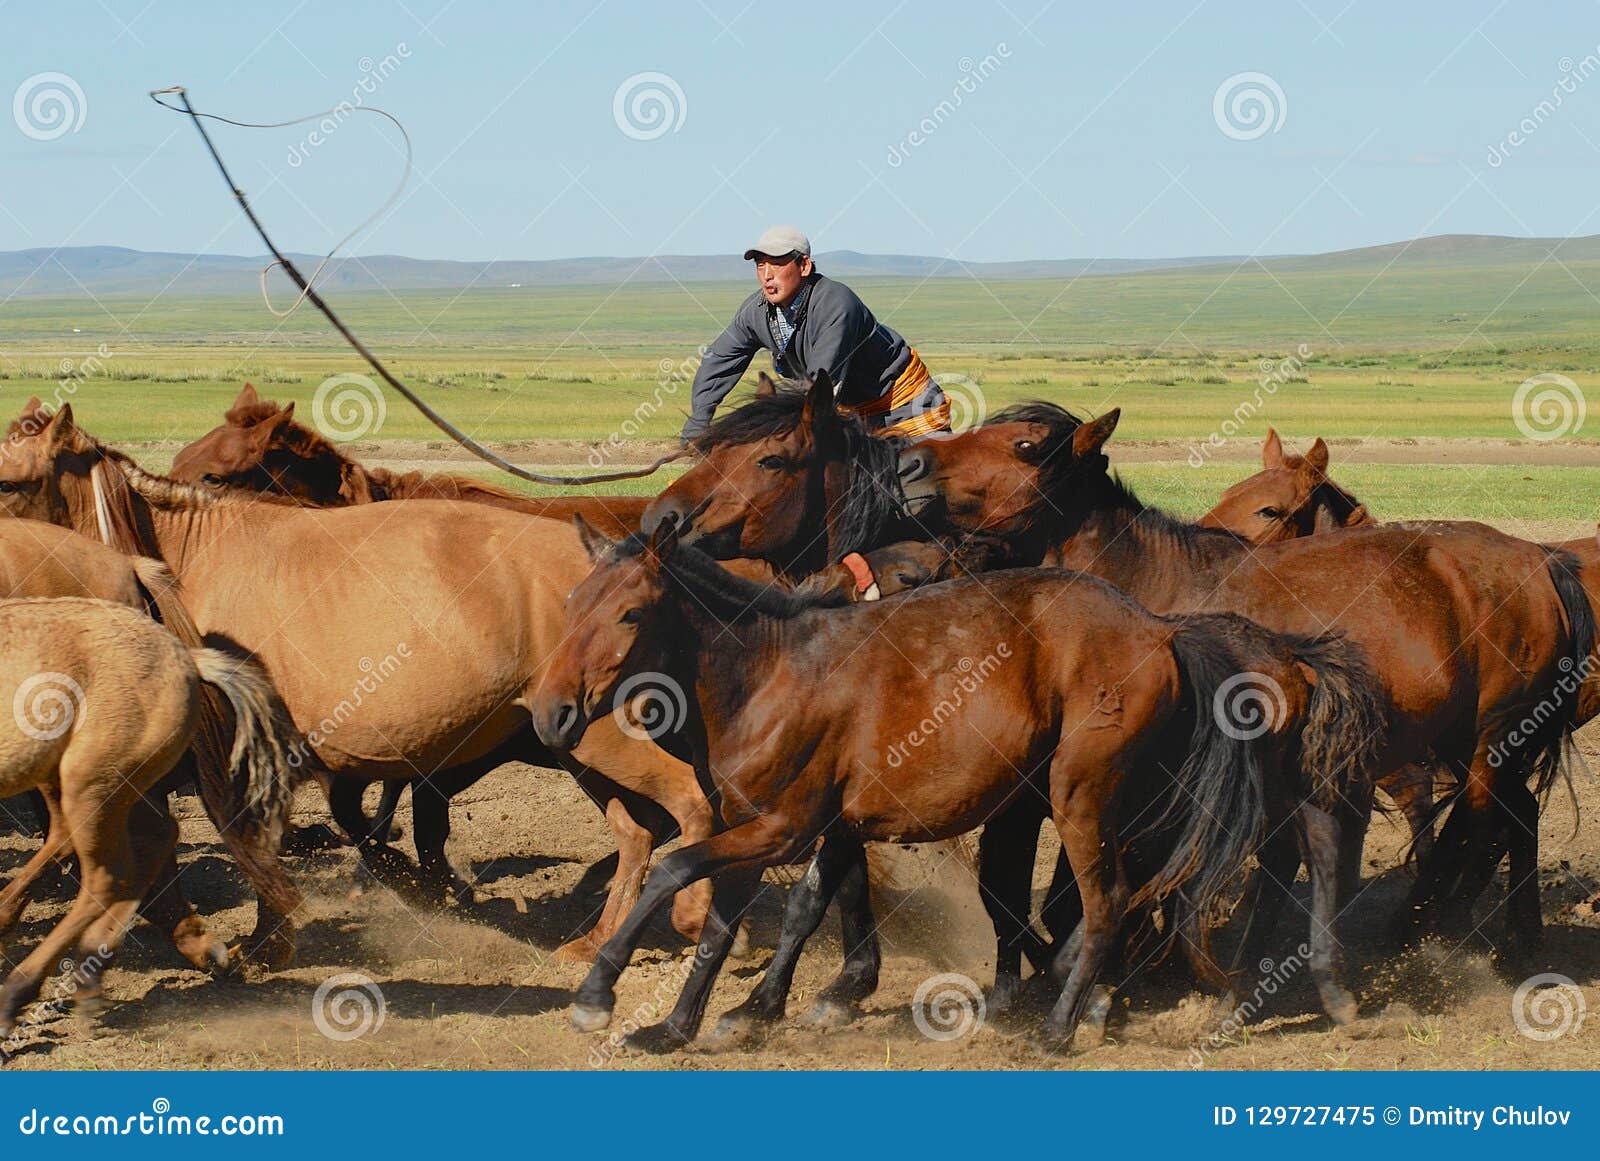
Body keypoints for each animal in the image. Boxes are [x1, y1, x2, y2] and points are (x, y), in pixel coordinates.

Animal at [0, 399, 720, 965]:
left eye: (10, 479)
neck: (179, 563)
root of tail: (633, 562)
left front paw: (264, 940)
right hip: (567, 737)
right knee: (636, 832)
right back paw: (597, 940)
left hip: (603, 732)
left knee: (688, 803)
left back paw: (689, 920)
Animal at [902, 409, 1600, 965]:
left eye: (1023, 444)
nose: (908, 460)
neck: (1147, 592)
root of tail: (1542, 561)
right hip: (1471, 743)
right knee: (1512, 819)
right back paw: (1515, 936)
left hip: (1490, 741)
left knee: (1475, 833)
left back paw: (1419, 934)